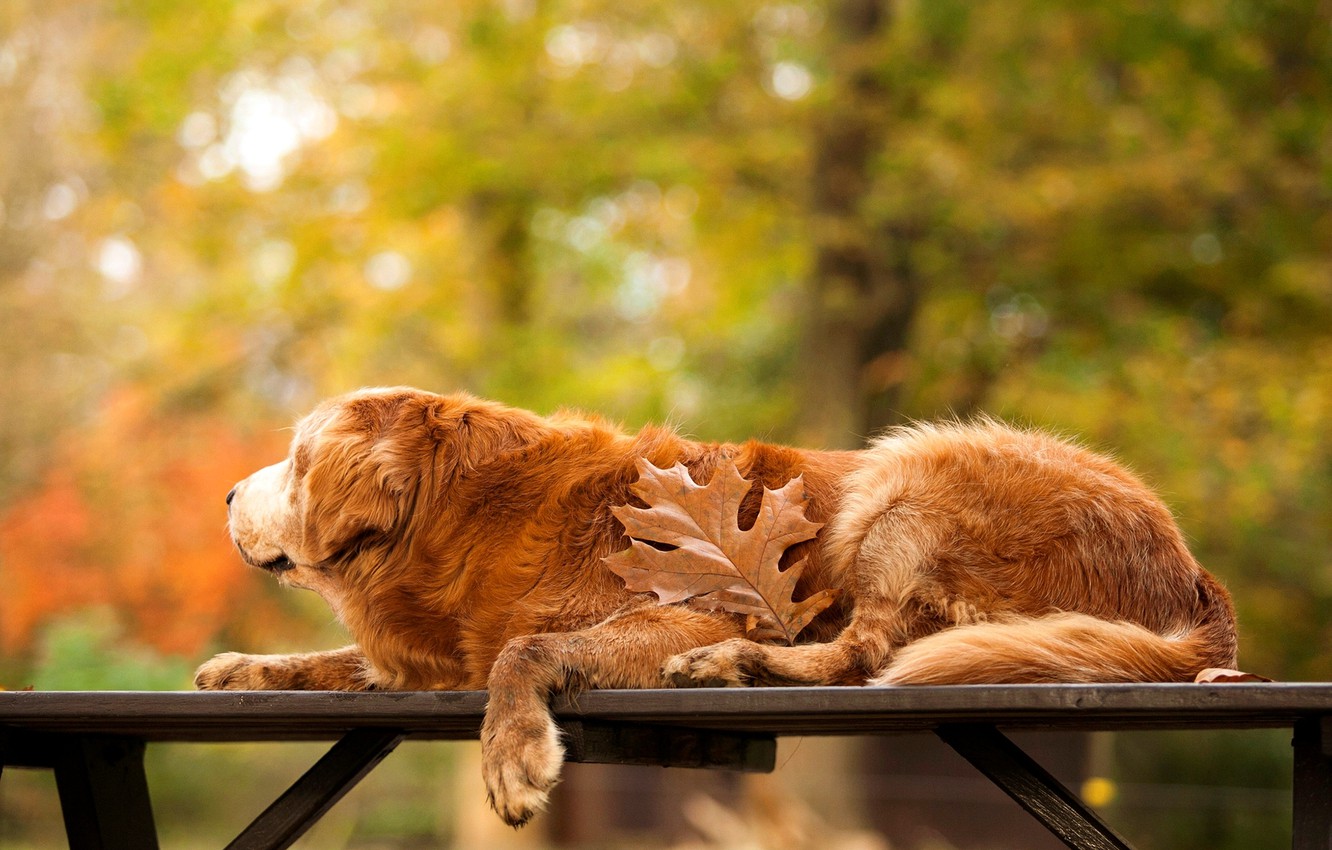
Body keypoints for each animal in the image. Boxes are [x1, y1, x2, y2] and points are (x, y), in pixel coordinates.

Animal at [197, 386, 1236, 826]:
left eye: (293, 460)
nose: (226, 493)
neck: (464, 513)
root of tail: (1189, 569)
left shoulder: (688, 609)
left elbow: (526, 651)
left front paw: (514, 754)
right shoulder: (436, 655)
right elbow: (339, 665)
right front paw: (243, 668)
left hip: (908, 474)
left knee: (864, 654)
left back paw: (742, 665)